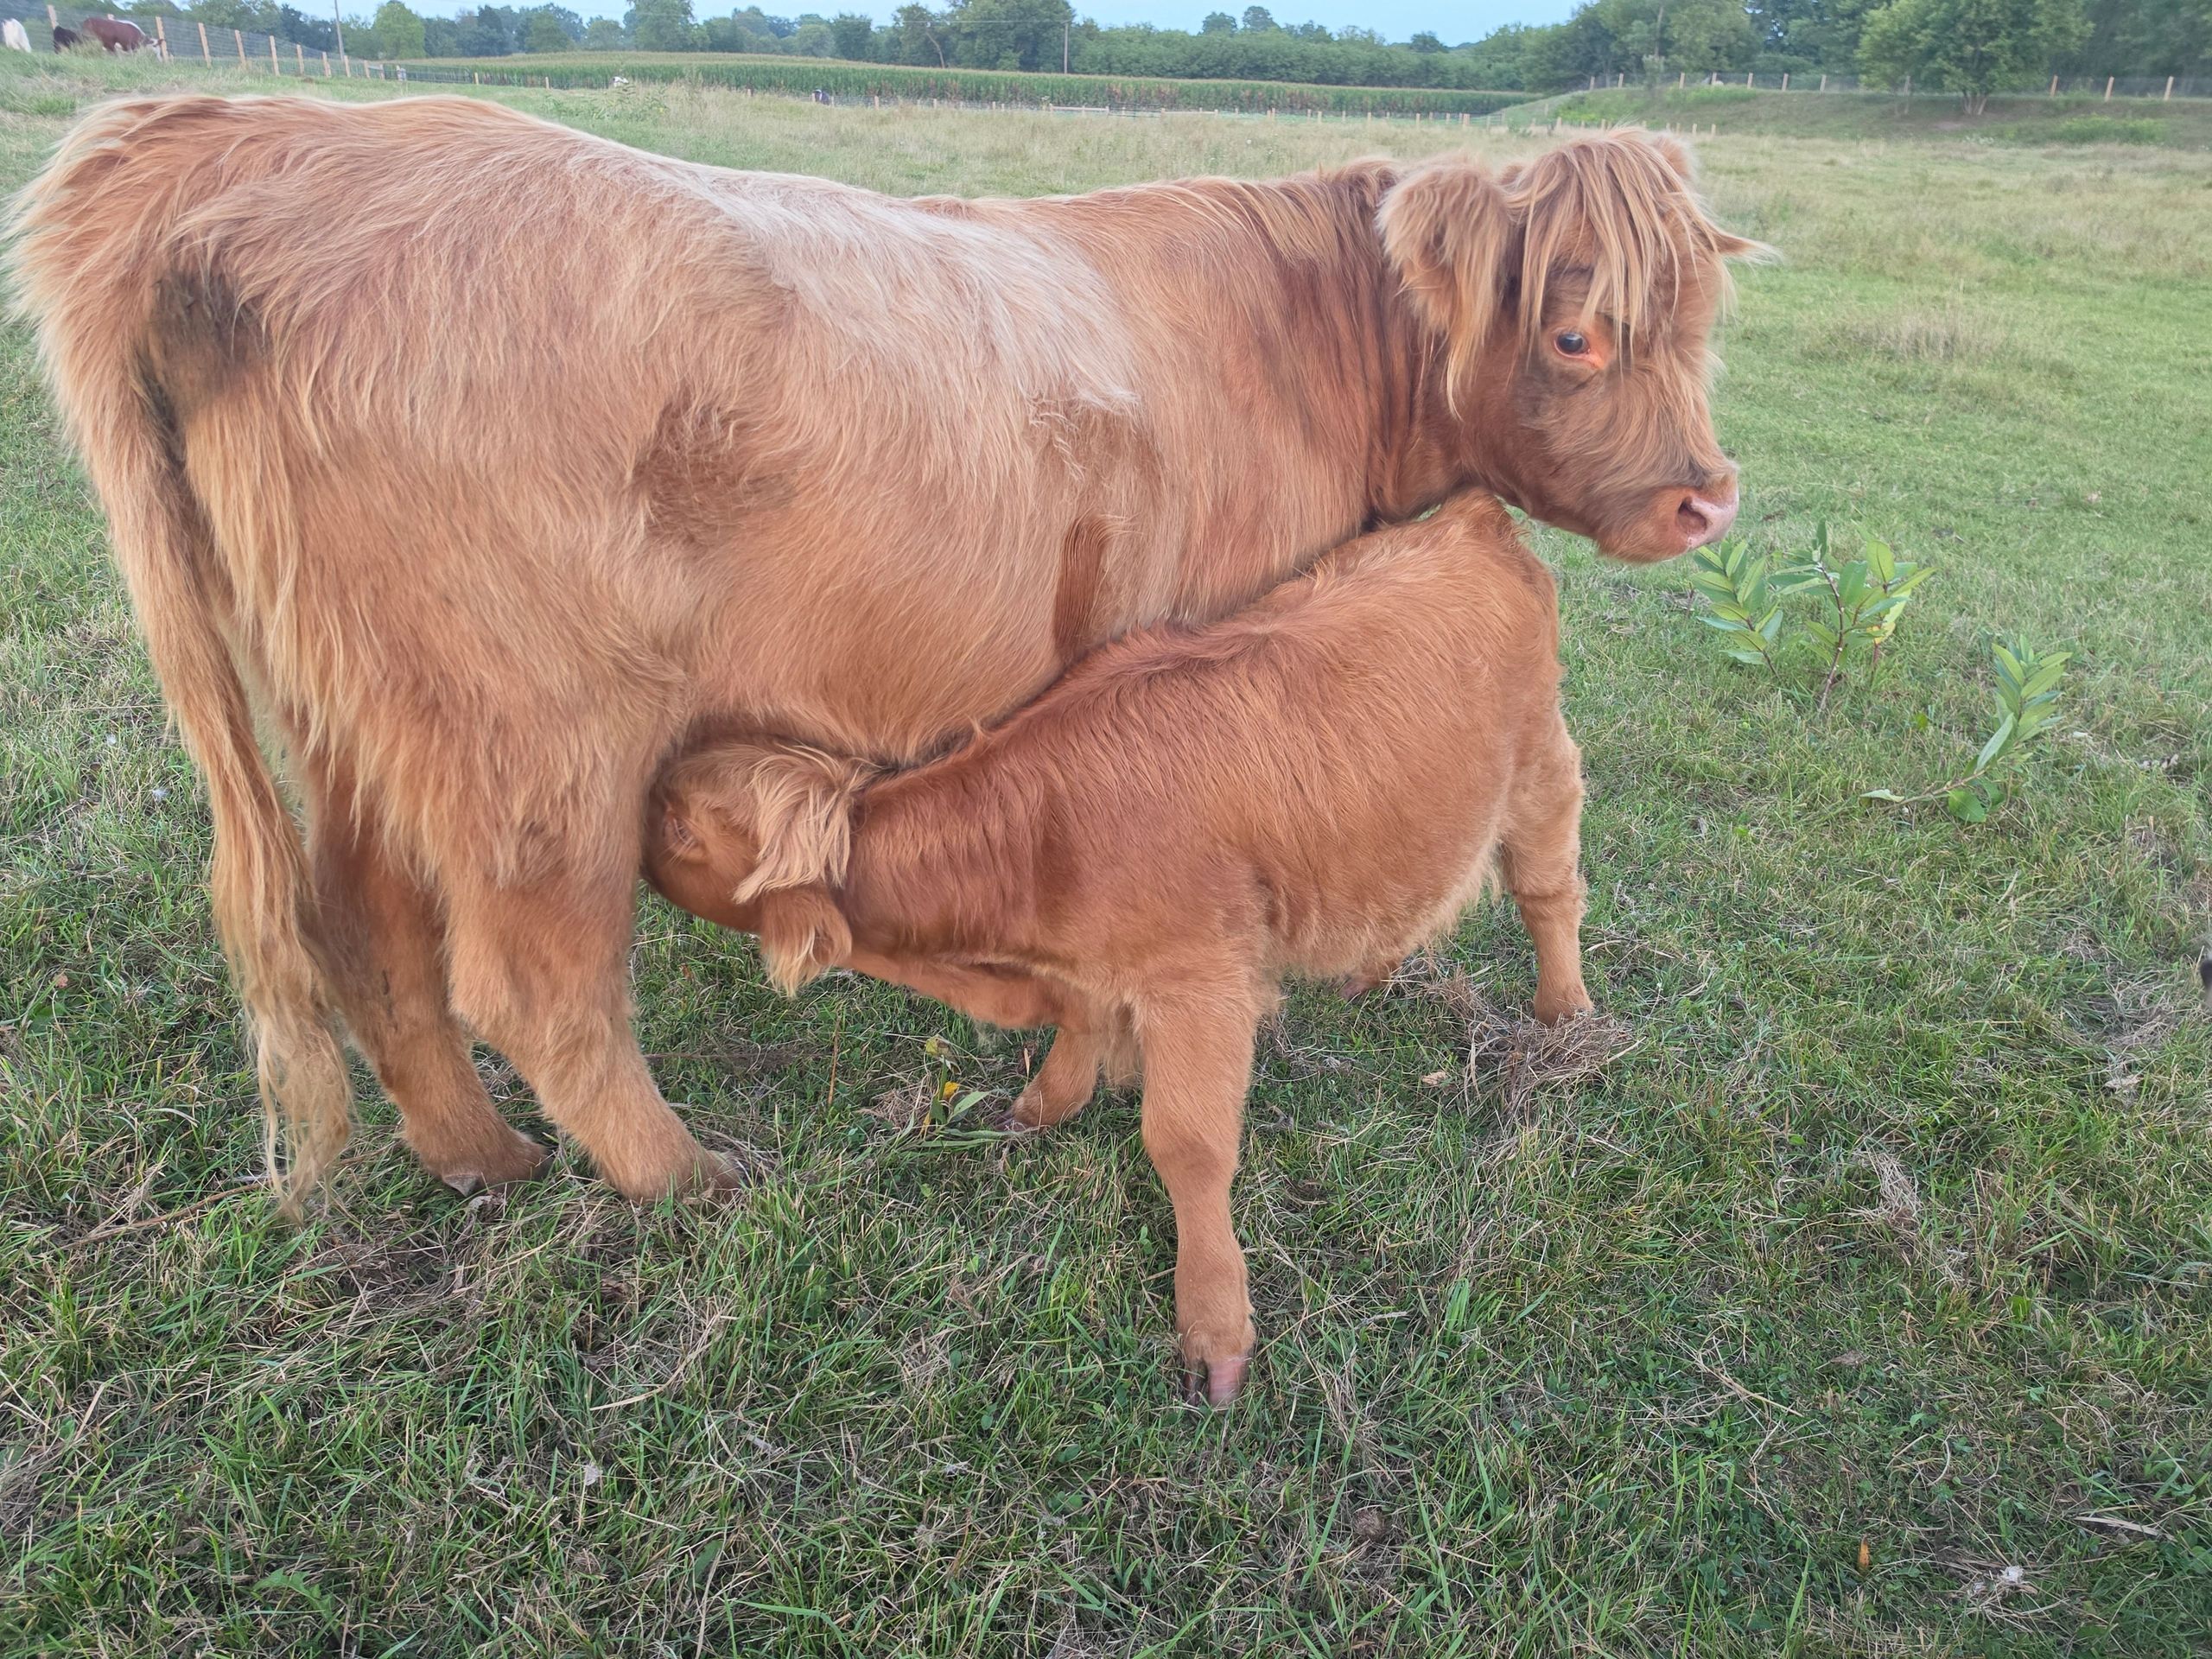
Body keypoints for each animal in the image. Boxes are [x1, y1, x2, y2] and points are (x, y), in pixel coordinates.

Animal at [11, 93, 1759, 1211]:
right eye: (1579, 332)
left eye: (1703, 329)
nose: (1707, 497)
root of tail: (253, 135)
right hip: (535, 743)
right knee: (534, 976)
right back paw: (681, 1179)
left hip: (364, 722)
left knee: (370, 929)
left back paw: (481, 1162)